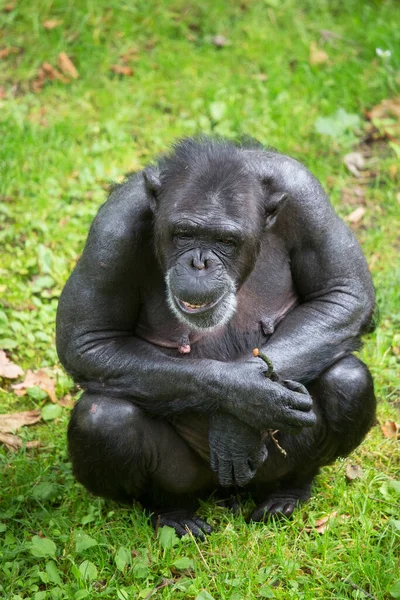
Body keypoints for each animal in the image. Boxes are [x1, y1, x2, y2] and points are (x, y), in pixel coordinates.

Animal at [56, 136, 376, 540]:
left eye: (225, 239)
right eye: (184, 233)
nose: (200, 262)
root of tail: (226, 495)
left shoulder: (307, 197)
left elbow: (343, 293)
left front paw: (236, 428)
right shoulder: (112, 231)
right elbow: (88, 339)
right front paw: (248, 396)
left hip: (268, 470)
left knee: (347, 379)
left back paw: (289, 492)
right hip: (189, 477)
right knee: (104, 418)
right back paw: (171, 511)